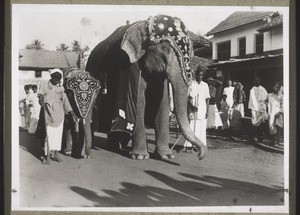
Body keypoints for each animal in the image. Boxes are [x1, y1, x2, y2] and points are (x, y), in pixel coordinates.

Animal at [85, 14, 207, 160]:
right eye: (164, 49)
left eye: (192, 51)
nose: (200, 155)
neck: (144, 25)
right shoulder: (128, 64)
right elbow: (139, 100)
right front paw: (140, 156)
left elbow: (163, 103)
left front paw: (166, 156)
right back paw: (113, 146)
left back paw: (118, 146)